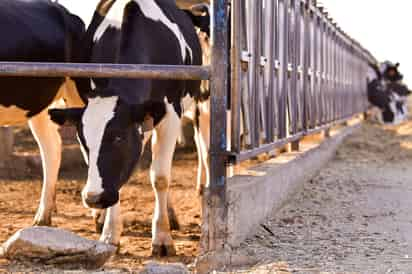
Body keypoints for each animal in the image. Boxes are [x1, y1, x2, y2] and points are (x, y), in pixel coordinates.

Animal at [48, 0, 208, 256]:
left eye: (118, 138)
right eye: (83, 141)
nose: (93, 198)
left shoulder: (170, 114)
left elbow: (160, 177)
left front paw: (162, 237)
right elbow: (117, 178)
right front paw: (110, 234)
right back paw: (101, 217)